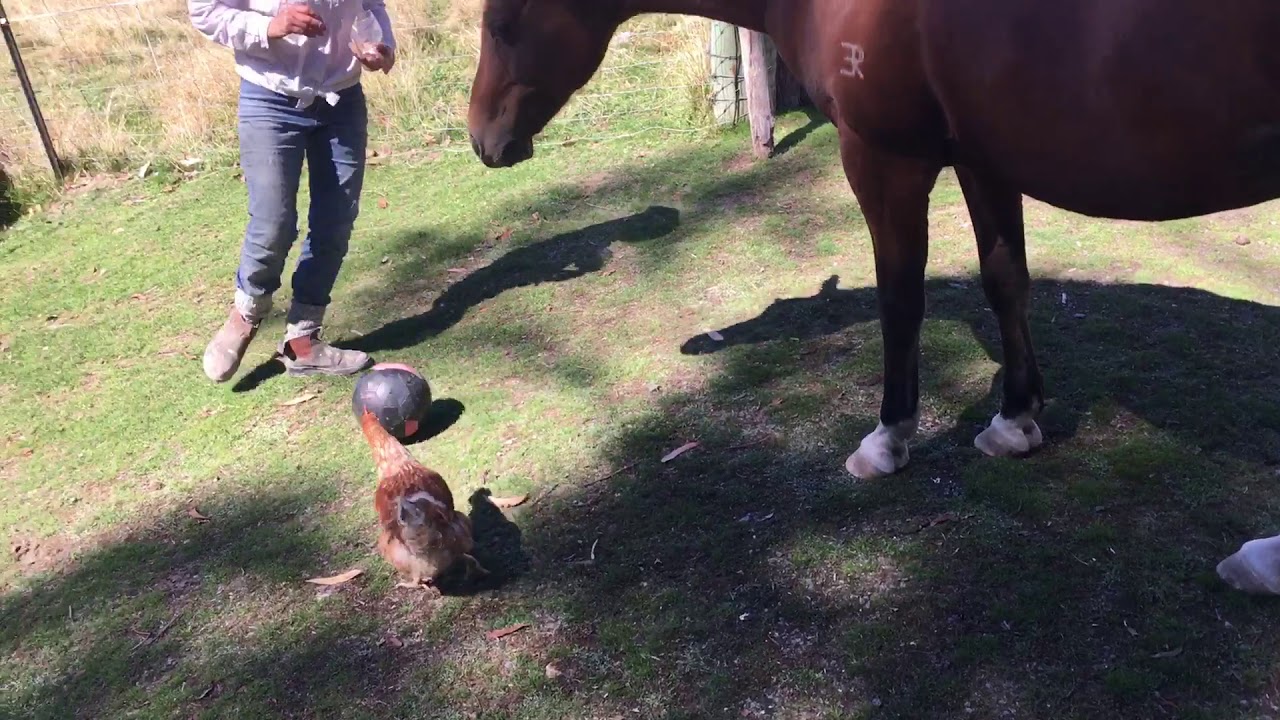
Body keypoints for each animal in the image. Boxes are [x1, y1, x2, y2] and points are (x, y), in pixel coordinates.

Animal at [465, 0, 1280, 481]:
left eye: (502, 23)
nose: (481, 140)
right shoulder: (983, 160)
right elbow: (1005, 282)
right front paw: (1015, 421)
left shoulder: (885, 164)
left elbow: (900, 302)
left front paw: (888, 440)